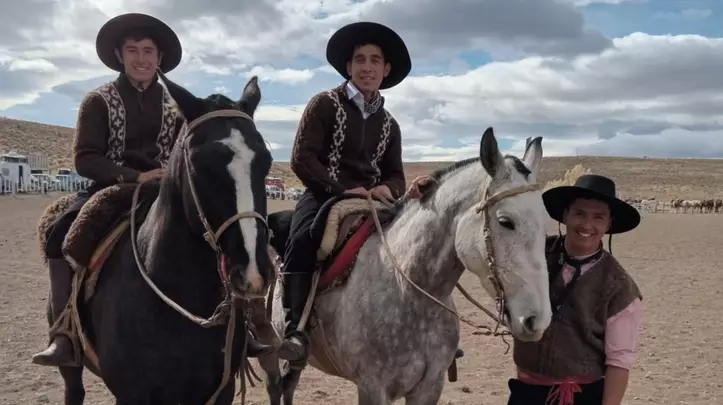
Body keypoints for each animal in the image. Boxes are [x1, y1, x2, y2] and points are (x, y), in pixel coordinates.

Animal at [36, 72, 275, 405]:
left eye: (266, 161)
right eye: (198, 163)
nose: (252, 270)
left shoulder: (220, 392)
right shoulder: (133, 394)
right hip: (69, 365)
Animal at [252, 128, 553, 405]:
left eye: (544, 224)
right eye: (505, 221)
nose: (537, 320)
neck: (409, 288)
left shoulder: (430, 387)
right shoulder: (372, 388)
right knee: (275, 386)